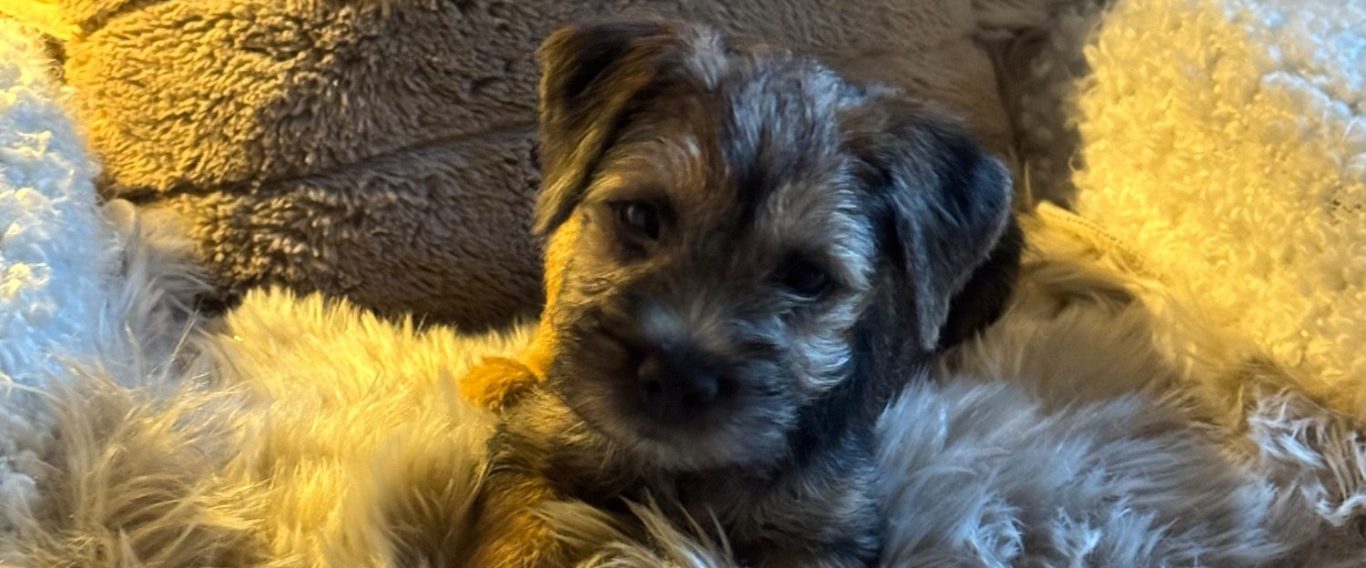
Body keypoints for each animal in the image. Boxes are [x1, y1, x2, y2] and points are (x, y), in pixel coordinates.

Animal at [463, 18, 1023, 567]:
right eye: (641, 216)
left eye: (808, 277)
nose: (675, 381)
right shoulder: (533, 450)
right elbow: (520, 534)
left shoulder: (824, 528)